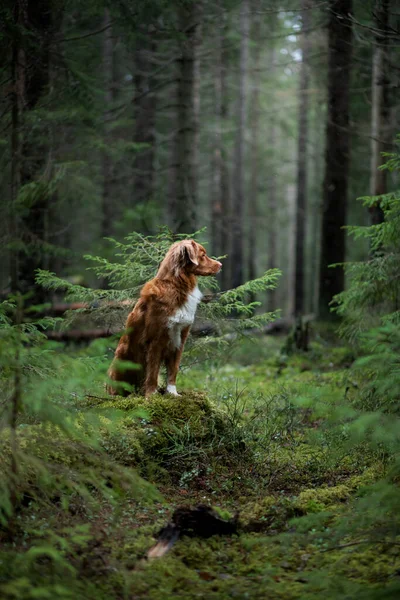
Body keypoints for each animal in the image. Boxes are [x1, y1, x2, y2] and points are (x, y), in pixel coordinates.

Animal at [107, 239, 222, 398]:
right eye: (203, 255)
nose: (220, 265)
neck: (177, 286)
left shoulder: (180, 337)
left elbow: (173, 369)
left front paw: (172, 393)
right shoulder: (155, 339)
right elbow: (153, 371)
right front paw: (151, 395)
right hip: (121, 360)